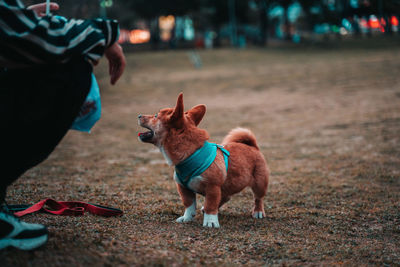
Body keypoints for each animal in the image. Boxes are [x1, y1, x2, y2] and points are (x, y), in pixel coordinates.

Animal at [139, 93, 270, 228]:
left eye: (156, 116)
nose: (139, 116)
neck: (192, 153)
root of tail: (252, 146)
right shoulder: (183, 188)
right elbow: (189, 204)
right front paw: (187, 218)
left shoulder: (212, 187)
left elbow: (210, 205)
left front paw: (210, 221)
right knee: (225, 197)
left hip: (259, 183)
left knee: (258, 198)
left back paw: (258, 212)